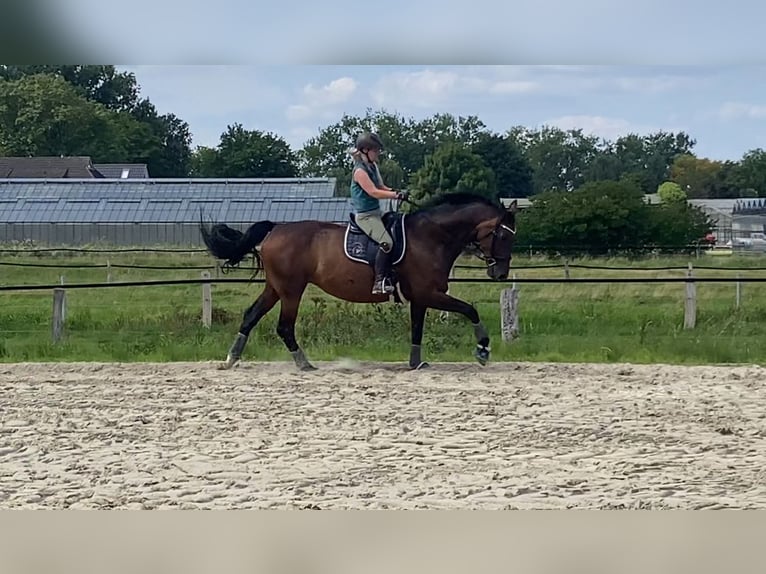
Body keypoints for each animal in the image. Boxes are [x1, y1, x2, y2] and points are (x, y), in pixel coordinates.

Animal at [198, 192, 518, 371]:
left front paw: (416, 363)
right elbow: (470, 310)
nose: (500, 274)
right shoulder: (431, 293)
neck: (431, 237)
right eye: (503, 235)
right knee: (284, 326)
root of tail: (276, 228)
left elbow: (417, 329)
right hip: (291, 290)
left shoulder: (420, 297)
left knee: (251, 315)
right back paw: (304, 364)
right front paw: (483, 350)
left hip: (275, 288)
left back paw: (231, 358)